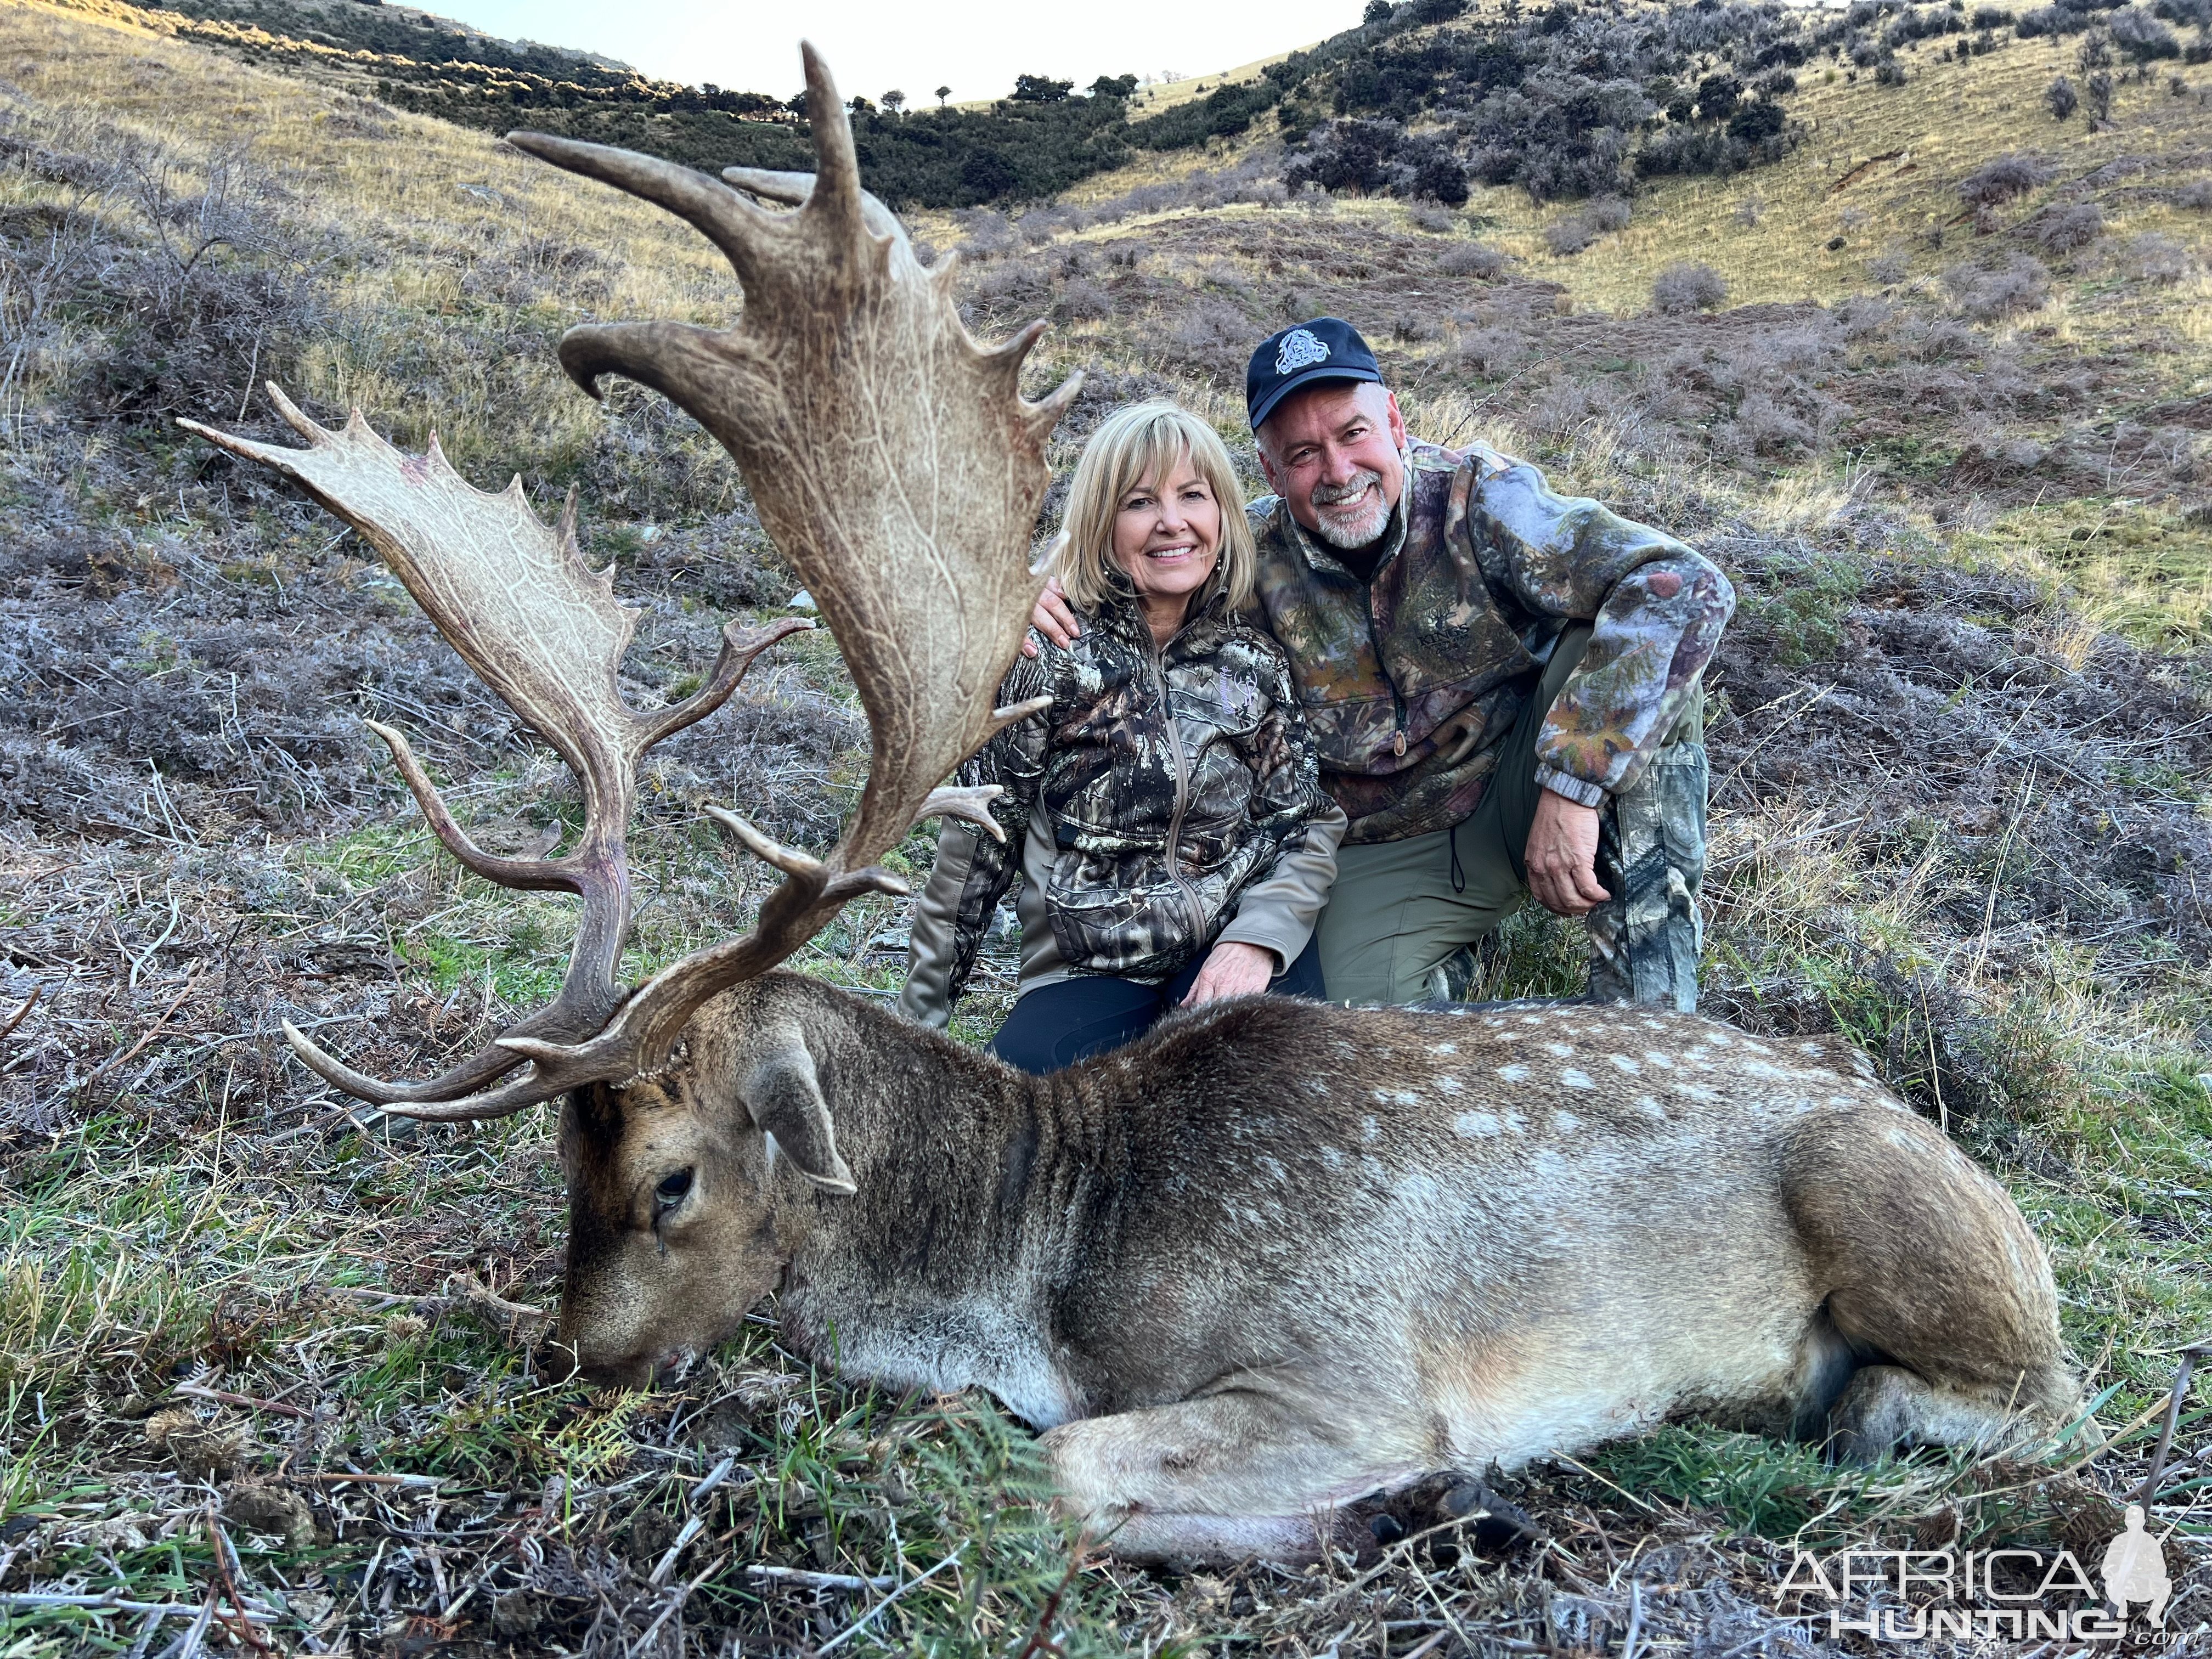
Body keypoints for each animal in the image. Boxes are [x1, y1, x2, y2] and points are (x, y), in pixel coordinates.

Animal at [181, 45, 2079, 1566]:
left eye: (667, 1177)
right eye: (552, 1159)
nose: (566, 1361)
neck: (1047, 1267)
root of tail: (1953, 1157)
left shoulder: (1353, 1367)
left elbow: (1075, 1473)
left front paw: (1403, 1508)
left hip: (1902, 1219)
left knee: (2039, 1392)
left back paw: (1845, 1406)